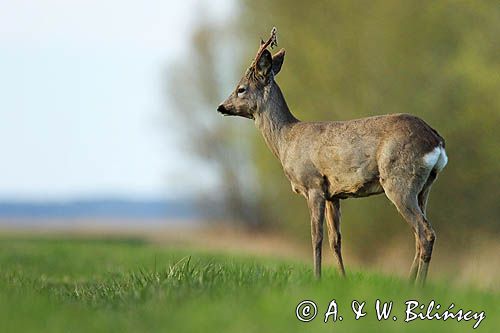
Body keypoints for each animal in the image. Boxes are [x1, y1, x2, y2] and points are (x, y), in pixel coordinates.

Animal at [217, 27, 448, 284]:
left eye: (241, 88)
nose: (221, 106)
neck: (286, 140)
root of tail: (436, 140)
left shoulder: (314, 185)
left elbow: (316, 236)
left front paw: (316, 278)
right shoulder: (334, 194)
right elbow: (335, 240)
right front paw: (342, 278)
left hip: (400, 180)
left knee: (425, 233)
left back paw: (418, 286)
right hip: (425, 187)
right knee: (419, 234)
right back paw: (409, 283)